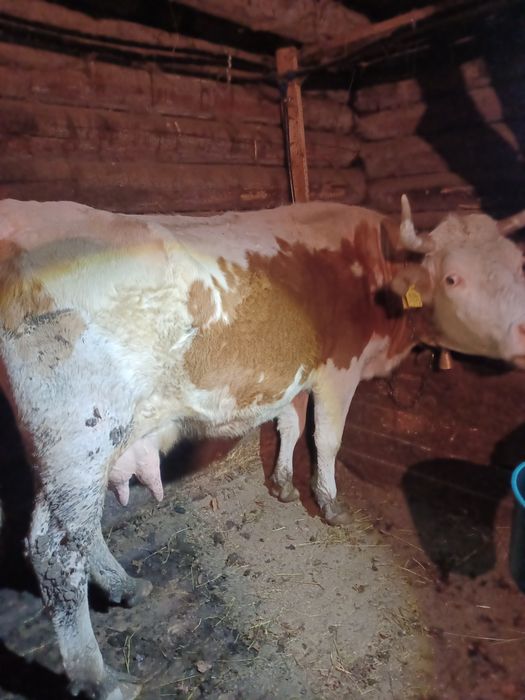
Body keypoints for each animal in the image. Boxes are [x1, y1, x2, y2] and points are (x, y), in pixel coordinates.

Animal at [1, 196, 524, 700]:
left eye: (518, 267)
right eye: (454, 277)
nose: (522, 333)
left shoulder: (296, 372)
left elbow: (290, 426)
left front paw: (283, 484)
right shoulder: (339, 369)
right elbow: (326, 438)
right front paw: (328, 502)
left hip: (67, 454)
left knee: (80, 531)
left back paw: (125, 586)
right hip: (78, 439)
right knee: (56, 549)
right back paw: (100, 678)